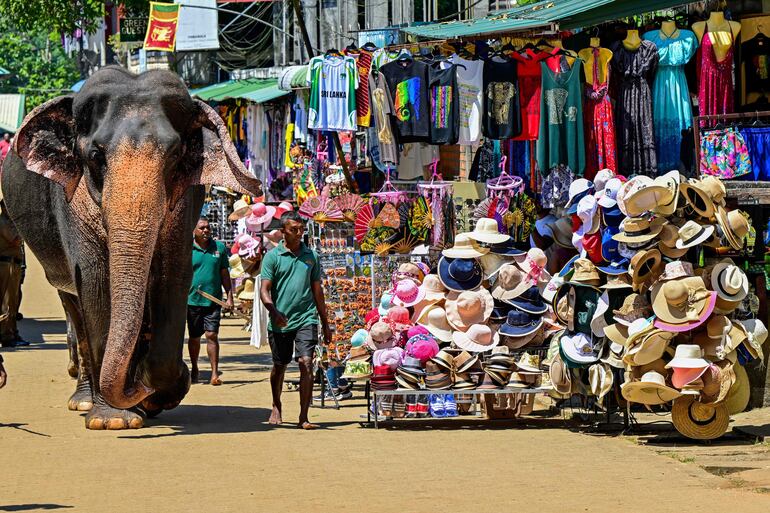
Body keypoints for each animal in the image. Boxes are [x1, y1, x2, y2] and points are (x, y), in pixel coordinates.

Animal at [2, 67, 260, 428]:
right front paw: (113, 419)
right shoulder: (73, 201)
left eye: (175, 155)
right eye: (96, 156)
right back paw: (85, 401)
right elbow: (96, 281)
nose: (138, 389)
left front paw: (158, 391)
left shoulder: (186, 201)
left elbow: (172, 276)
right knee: (74, 306)